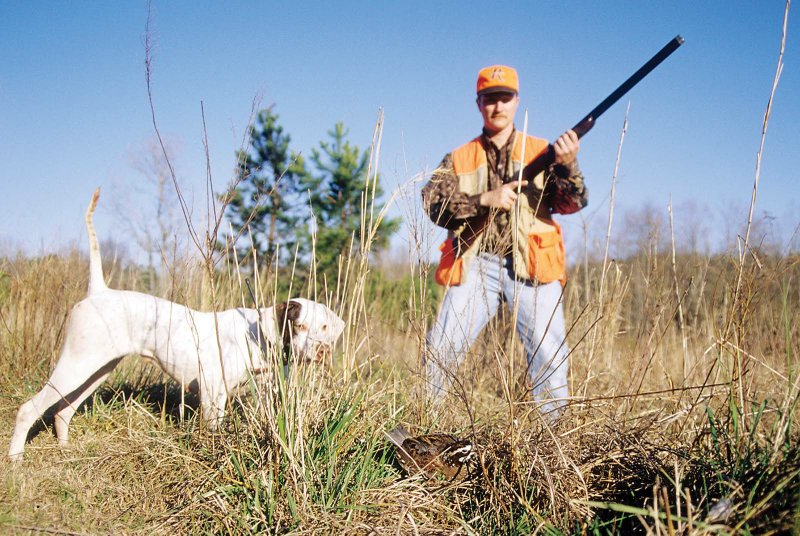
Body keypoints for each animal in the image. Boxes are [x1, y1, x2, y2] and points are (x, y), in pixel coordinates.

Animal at [9, 189, 346, 460]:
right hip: (77, 365)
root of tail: (98, 291)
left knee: (63, 410)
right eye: (298, 326)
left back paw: (65, 451)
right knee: (29, 408)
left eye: (324, 328)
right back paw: (15, 459)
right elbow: (214, 430)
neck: (258, 337)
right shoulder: (212, 391)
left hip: (97, 369)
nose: (322, 352)